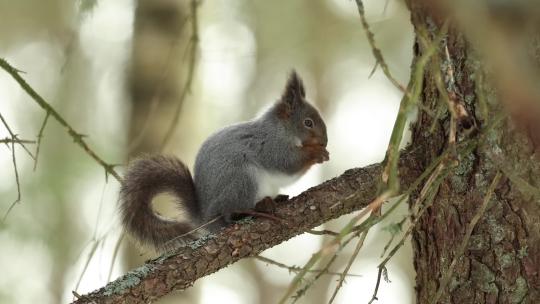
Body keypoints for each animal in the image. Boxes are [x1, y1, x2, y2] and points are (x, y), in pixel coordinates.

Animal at [119, 70, 326, 251]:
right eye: (308, 122)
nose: (324, 141)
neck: (281, 130)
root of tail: (207, 217)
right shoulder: (269, 146)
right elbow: (286, 164)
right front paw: (316, 153)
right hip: (242, 180)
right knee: (230, 215)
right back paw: (257, 208)